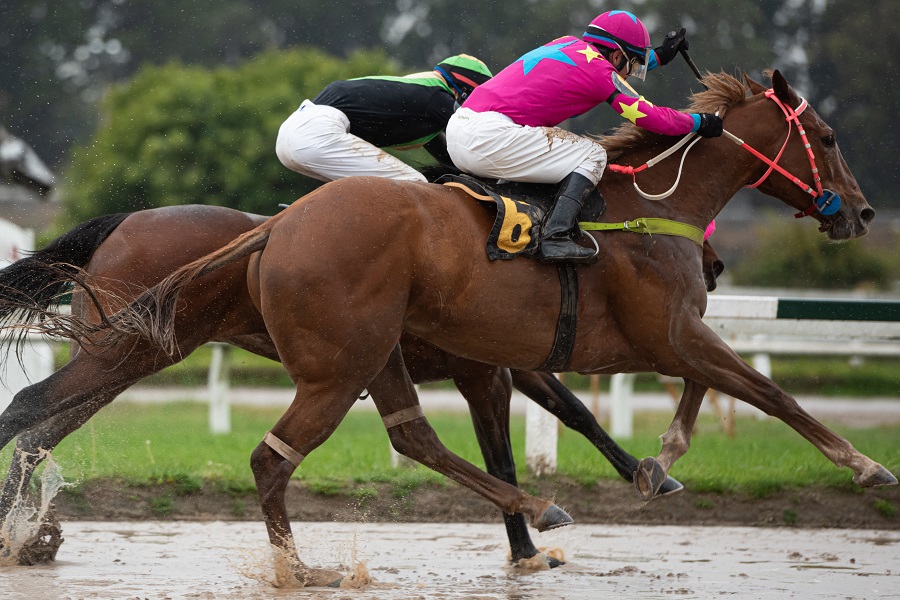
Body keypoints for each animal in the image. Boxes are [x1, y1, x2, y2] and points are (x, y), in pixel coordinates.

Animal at [10, 70, 896, 584]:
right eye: (825, 137)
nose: (859, 211)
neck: (641, 209)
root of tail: (276, 230)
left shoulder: (521, 357)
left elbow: (649, 400)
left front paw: (641, 473)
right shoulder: (648, 335)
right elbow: (758, 390)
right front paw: (865, 466)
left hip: (194, 350)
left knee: (41, 420)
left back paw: (30, 535)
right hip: (205, 352)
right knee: (67, 419)